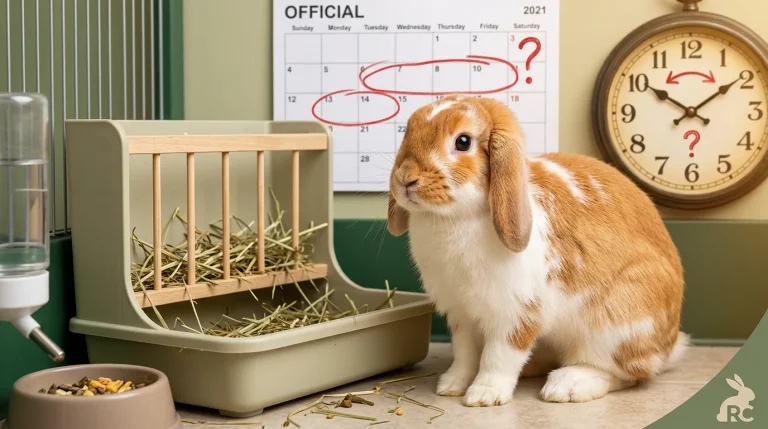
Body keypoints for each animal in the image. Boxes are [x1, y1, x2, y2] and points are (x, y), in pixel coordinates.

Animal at [386, 95, 689, 406]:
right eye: (407, 132)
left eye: (462, 141)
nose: (406, 178)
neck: (456, 218)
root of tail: (668, 347)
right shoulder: (462, 316)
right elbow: (465, 354)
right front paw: (451, 385)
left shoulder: (516, 315)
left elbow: (499, 357)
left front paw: (484, 395)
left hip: (618, 323)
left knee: (629, 372)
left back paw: (568, 385)